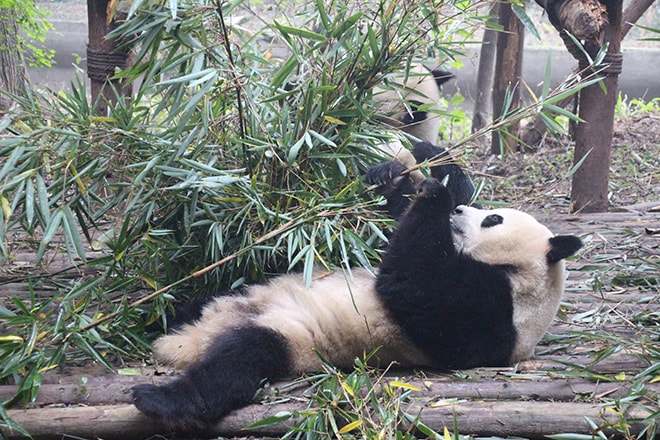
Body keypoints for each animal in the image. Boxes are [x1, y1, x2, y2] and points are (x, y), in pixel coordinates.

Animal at [131, 175, 580, 430]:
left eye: (493, 219)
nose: (458, 210)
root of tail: (185, 343)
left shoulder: (493, 313)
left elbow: (414, 285)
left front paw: (434, 193)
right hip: (233, 297)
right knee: (189, 307)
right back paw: (140, 316)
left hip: (289, 336)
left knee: (238, 361)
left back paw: (160, 399)